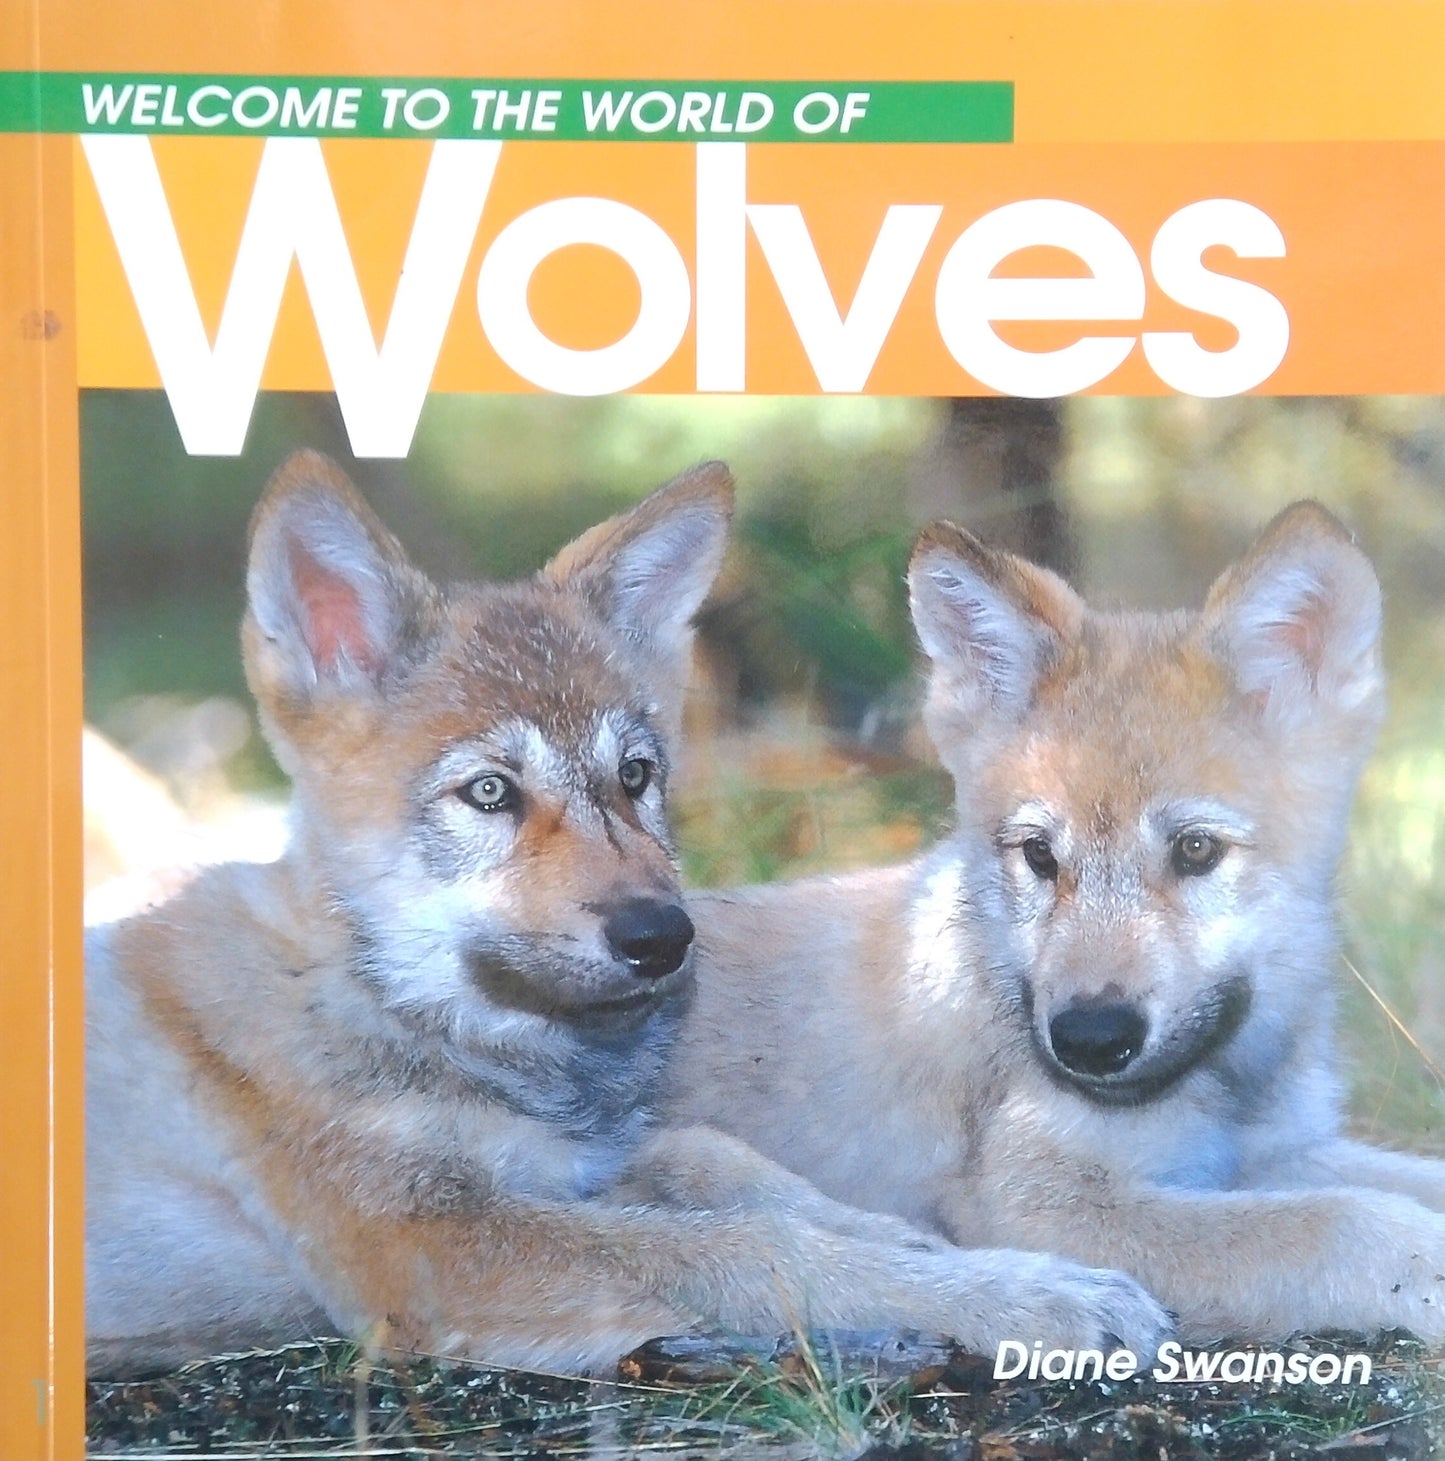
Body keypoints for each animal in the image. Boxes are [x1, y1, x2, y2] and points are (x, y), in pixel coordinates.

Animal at [85, 451, 1169, 1377]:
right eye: (489, 793)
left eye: (636, 776)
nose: (664, 938)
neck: (386, 1005)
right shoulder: (431, 1241)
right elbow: (752, 1247)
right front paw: (1028, 1296)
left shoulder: (561, 1166)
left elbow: (711, 1160)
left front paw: (922, 1243)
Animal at [671, 502, 1445, 1344]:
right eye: (1039, 856)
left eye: (1195, 849)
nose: (1089, 1041)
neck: (1228, 1078)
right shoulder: (1032, 1197)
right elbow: (1338, 1223)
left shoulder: (1272, 1151)